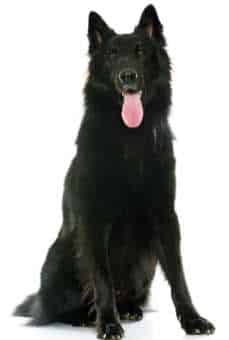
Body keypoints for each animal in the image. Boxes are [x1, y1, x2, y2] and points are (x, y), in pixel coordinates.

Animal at [13, 3, 215, 338]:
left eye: (140, 51)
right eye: (111, 55)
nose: (127, 76)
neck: (129, 139)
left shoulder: (165, 215)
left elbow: (178, 274)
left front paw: (192, 318)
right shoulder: (94, 220)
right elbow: (101, 277)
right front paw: (108, 322)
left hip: (145, 263)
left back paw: (129, 309)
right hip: (61, 255)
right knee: (53, 308)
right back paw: (85, 315)